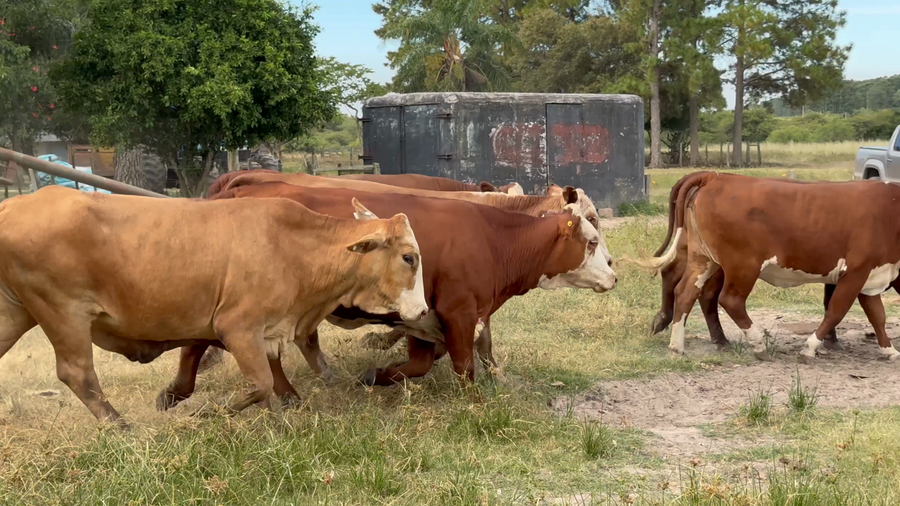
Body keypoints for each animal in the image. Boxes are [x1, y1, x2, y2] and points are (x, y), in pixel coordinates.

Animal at [0, 186, 428, 423]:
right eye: (409, 257)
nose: (423, 311)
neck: (294, 247)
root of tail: (13, 205)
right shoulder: (236, 327)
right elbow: (260, 383)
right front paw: (207, 411)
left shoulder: (264, 331)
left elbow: (266, 382)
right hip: (63, 313)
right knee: (78, 374)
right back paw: (121, 427)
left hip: (14, 312)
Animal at [157, 182, 616, 409]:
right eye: (592, 235)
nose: (614, 271)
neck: (491, 236)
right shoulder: (458, 311)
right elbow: (462, 364)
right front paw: (475, 403)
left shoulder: (430, 316)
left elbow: (429, 360)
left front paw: (378, 374)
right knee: (200, 343)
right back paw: (180, 391)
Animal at [633, 172, 900, 363]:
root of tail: (716, 176)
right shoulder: (856, 272)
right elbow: (836, 311)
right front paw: (810, 348)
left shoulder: (872, 276)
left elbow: (877, 316)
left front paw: (890, 350)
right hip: (743, 266)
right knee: (729, 300)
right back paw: (758, 343)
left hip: (704, 259)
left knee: (686, 292)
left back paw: (677, 346)